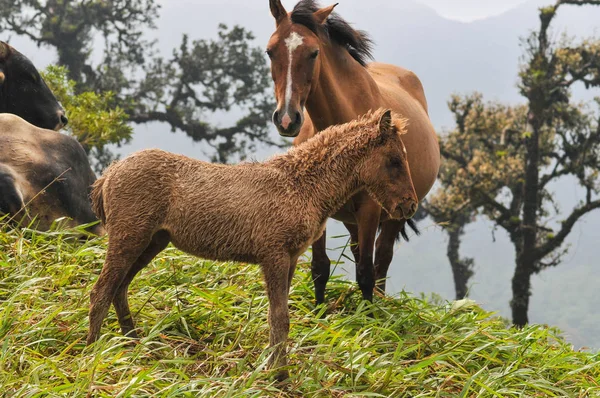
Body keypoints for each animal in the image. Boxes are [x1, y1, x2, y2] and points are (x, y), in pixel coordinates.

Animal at [88, 108, 418, 380]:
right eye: (395, 161)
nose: (409, 205)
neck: (301, 186)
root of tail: (108, 174)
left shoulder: (291, 258)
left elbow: (278, 316)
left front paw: (272, 369)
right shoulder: (274, 255)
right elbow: (279, 317)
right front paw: (280, 376)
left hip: (152, 241)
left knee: (119, 288)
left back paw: (132, 345)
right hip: (129, 236)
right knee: (101, 290)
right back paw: (93, 351)